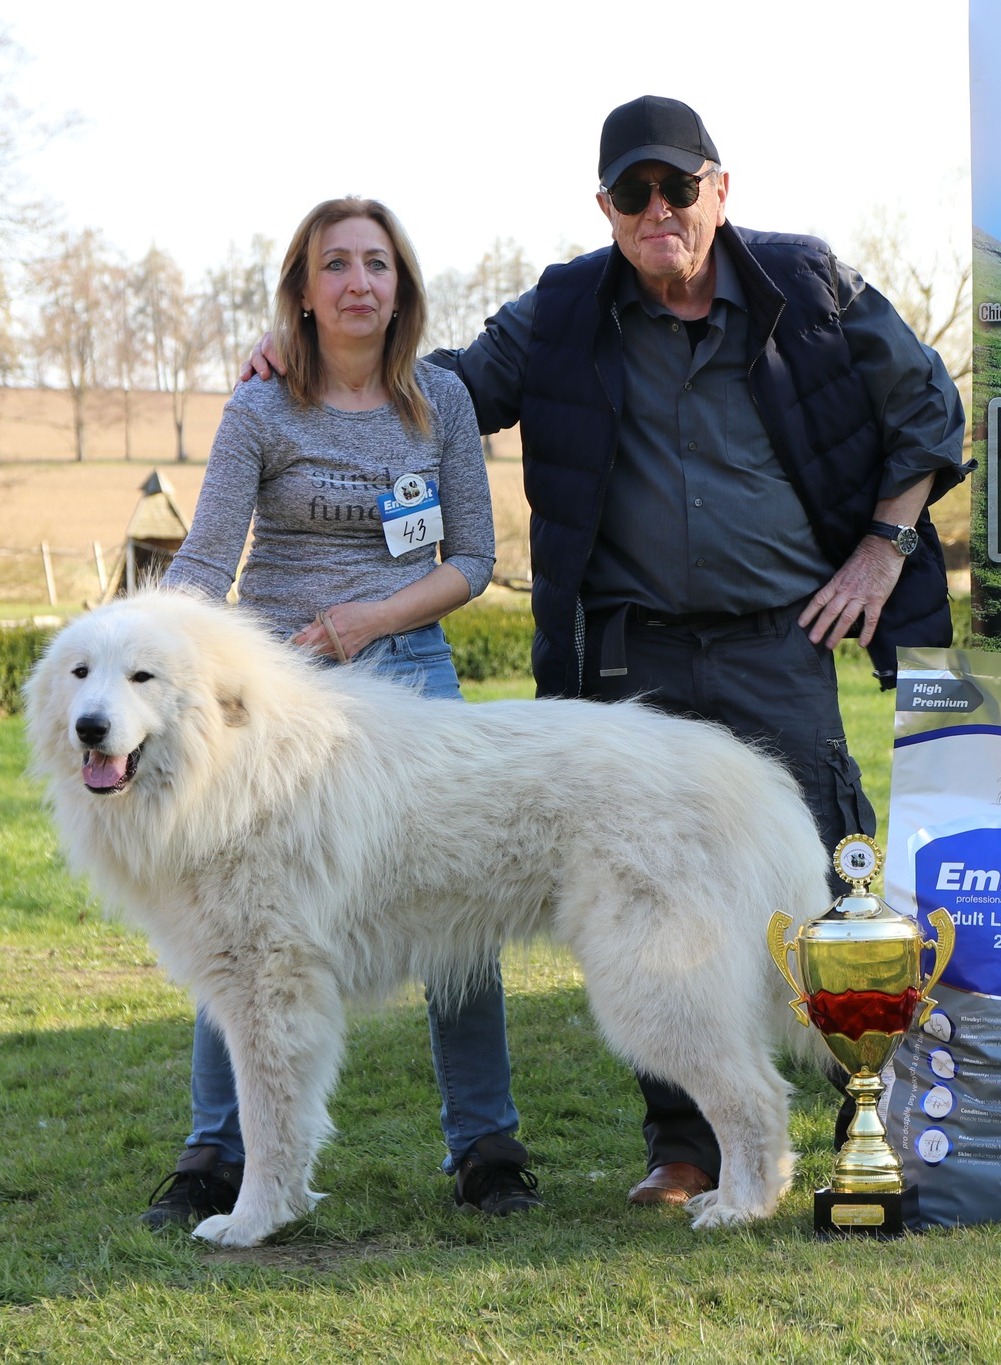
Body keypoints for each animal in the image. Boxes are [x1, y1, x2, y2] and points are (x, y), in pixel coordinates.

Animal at [27, 589, 830, 1250]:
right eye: (81, 673)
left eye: (142, 678)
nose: (89, 728)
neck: (229, 765)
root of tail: (749, 774)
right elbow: (286, 1116)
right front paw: (278, 1209)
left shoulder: (269, 989)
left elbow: (268, 1120)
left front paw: (252, 1222)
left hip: (653, 986)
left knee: (753, 1096)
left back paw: (741, 1208)